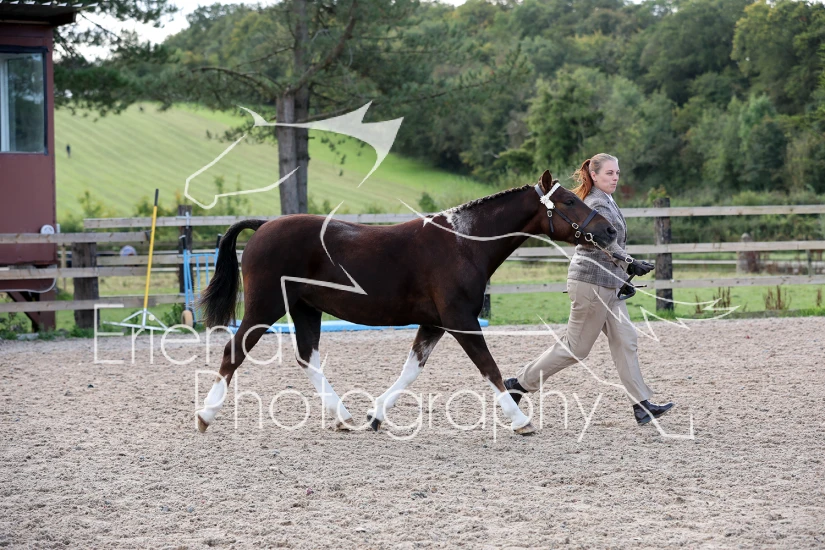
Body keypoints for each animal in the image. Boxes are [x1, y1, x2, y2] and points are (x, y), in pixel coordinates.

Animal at [195, 170, 618, 435]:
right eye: (568, 200)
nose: (609, 230)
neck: (463, 243)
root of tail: (264, 225)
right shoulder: (461, 319)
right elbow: (489, 368)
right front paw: (520, 421)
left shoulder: (434, 323)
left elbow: (412, 370)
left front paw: (375, 415)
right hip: (265, 308)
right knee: (233, 351)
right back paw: (205, 414)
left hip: (305, 309)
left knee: (307, 358)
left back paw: (344, 416)